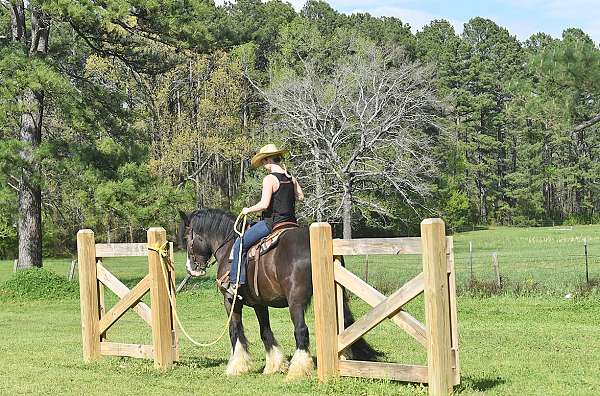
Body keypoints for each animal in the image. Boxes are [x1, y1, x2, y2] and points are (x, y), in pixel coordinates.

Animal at [178, 209, 378, 378]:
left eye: (188, 237)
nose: (190, 268)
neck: (228, 248)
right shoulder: (259, 303)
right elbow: (265, 331)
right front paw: (274, 365)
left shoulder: (231, 300)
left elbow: (235, 330)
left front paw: (237, 366)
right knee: (341, 326)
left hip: (295, 301)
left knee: (301, 331)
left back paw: (298, 370)